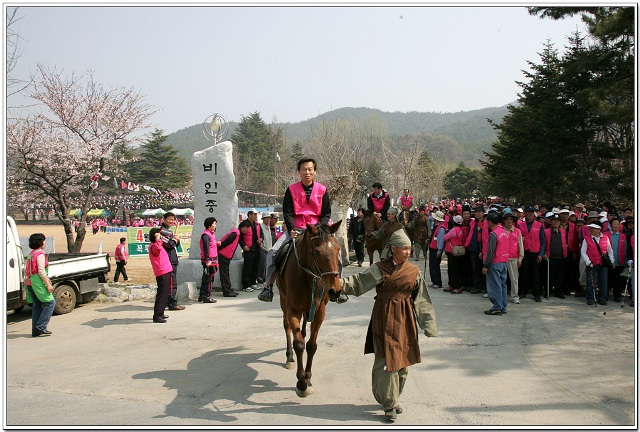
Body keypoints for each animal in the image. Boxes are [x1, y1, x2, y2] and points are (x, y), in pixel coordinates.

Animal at [276, 223, 344, 398]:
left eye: (338, 249)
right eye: (317, 252)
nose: (335, 291)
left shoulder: (319, 310)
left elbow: (311, 345)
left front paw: (308, 378)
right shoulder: (293, 309)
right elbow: (299, 344)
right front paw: (301, 383)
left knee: (304, 329)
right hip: (283, 300)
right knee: (287, 326)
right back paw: (289, 357)